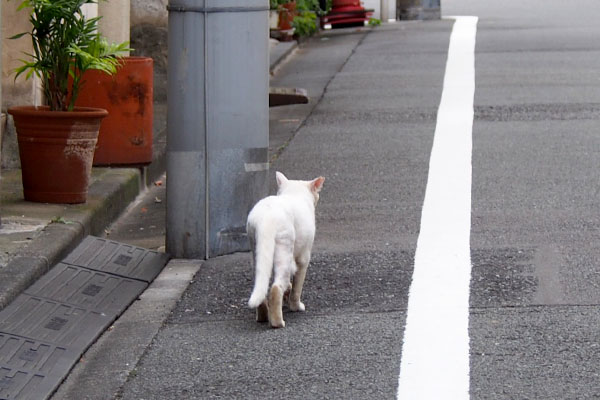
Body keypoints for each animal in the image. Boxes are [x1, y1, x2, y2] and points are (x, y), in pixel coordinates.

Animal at [247, 172, 326, 328]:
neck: (294, 193)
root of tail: (266, 217)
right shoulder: (303, 258)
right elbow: (297, 287)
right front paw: (296, 306)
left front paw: (287, 293)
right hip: (284, 249)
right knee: (276, 287)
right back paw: (277, 322)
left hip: (257, 251)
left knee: (261, 284)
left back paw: (263, 316)